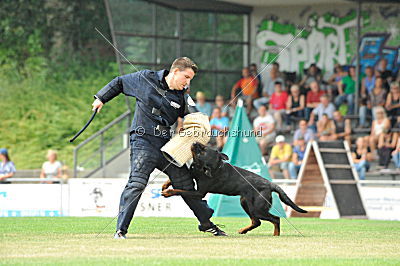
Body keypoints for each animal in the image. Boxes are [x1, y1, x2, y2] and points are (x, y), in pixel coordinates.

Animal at [161, 142, 308, 236]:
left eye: (203, 150)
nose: (194, 142)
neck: (207, 167)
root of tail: (270, 184)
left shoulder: (199, 193)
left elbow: (180, 191)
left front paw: (168, 192)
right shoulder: (193, 174)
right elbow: (175, 179)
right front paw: (165, 185)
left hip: (258, 208)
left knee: (275, 219)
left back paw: (275, 235)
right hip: (245, 203)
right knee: (257, 221)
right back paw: (243, 230)